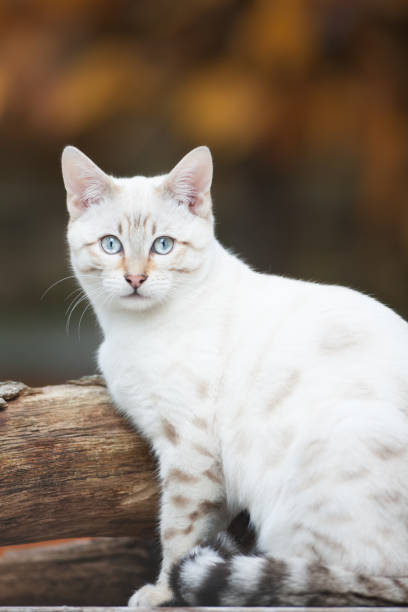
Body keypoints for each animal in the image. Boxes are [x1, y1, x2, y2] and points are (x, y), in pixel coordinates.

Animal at [61, 145, 408, 608]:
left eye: (163, 246)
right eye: (111, 245)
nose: (135, 278)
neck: (130, 331)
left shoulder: (191, 449)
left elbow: (180, 532)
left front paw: (163, 593)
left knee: (337, 584)